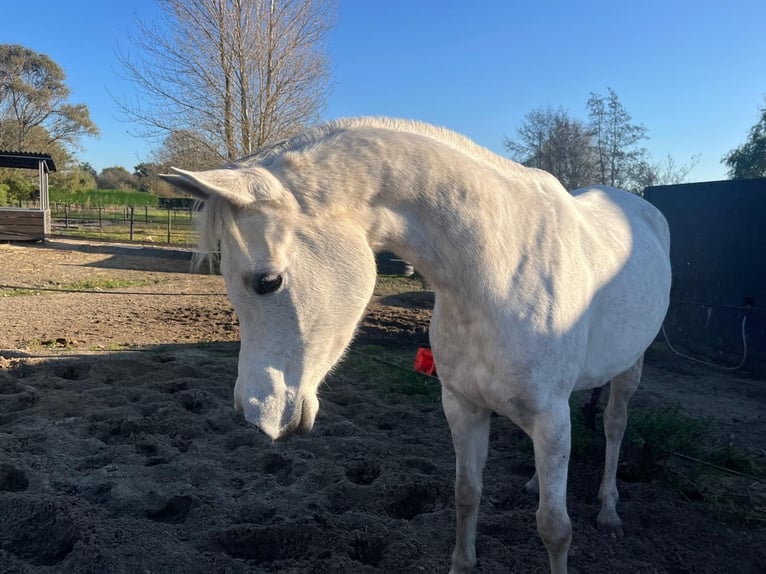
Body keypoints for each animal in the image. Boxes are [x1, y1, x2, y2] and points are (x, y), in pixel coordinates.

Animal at [160, 117, 671, 574]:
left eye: (267, 282)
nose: (254, 414)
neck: (497, 272)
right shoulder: (463, 405)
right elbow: (466, 496)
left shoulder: (549, 416)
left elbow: (554, 527)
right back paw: (533, 483)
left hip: (630, 369)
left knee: (614, 426)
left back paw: (609, 509)